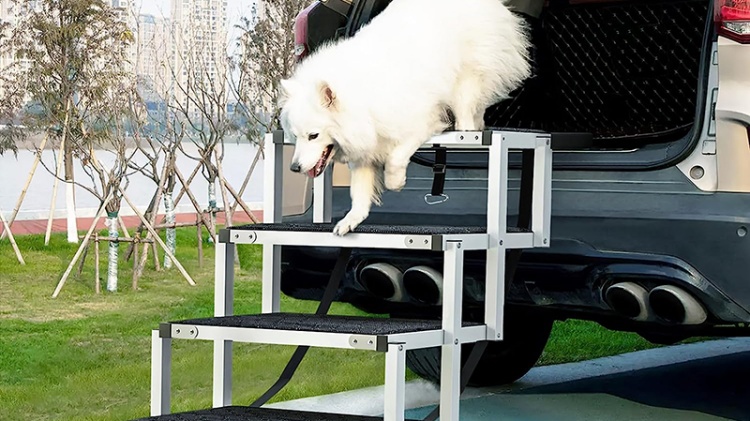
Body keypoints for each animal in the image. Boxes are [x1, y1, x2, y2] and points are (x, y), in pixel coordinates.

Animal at [280, 0, 532, 235]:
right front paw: (351, 219)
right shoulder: (365, 145)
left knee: (466, 105)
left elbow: (395, 157)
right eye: (296, 136)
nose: (294, 168)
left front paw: (395, 182)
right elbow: (358, 189)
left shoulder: (418, 122)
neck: (362, 98)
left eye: (314, 135)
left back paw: (466, 130)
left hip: (467, 74)